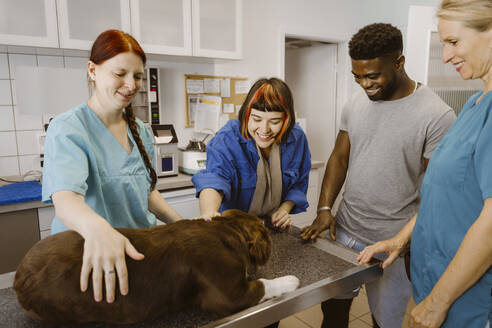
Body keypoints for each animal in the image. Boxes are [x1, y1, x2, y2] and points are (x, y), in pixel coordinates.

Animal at [14, 210, 300, 326]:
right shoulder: (227, 292)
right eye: (262, 229)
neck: (228, 230)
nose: (267, 217)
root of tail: (19, 277)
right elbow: (263, 285)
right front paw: (291, 280)